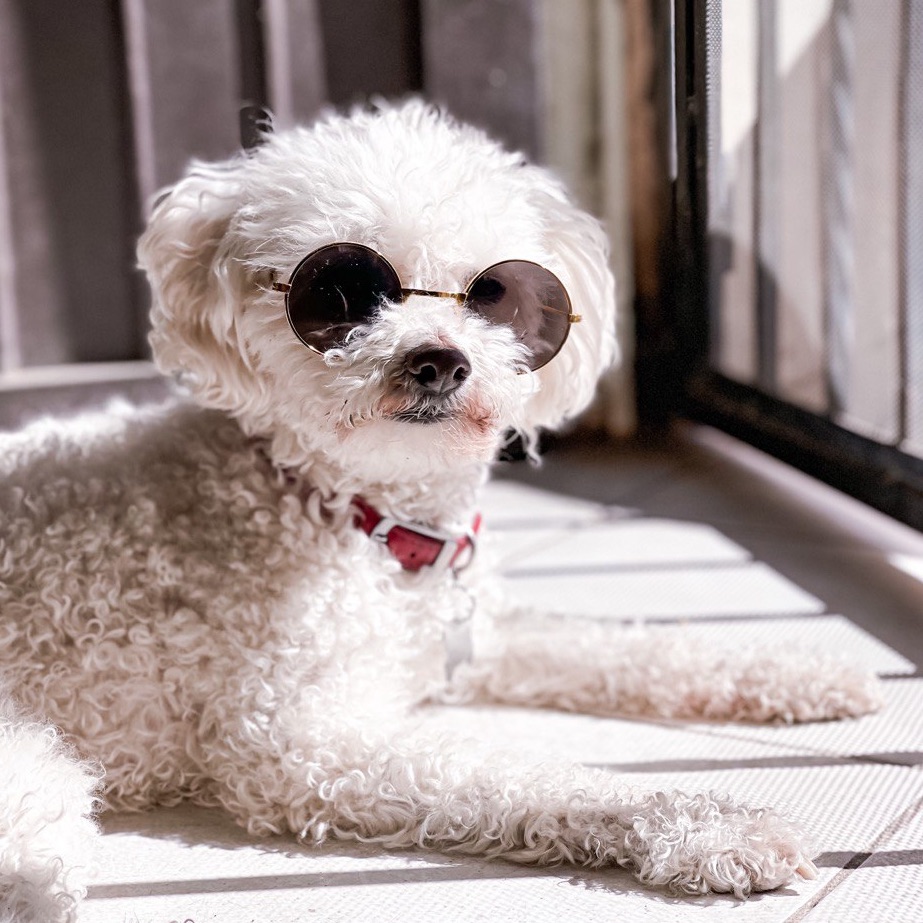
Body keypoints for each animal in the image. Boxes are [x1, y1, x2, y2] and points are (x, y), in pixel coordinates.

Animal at [0, 101, 880, 916]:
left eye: (493, 294)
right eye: (342, 292)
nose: (436, 361)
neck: (361, 522)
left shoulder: (470, 637)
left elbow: (628, 647)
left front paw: (798, 670)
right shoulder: (295, 742)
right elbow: (515, 775)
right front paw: (708, 823)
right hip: (35, 780)